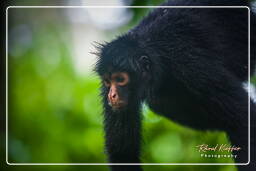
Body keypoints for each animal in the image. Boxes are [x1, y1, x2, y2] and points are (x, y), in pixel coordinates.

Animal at [94, 0, 256, 171]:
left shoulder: (189, 63)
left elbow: (243, 117)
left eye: (120, 79)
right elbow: (123, 153)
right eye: (108, 81)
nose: (112, 95)